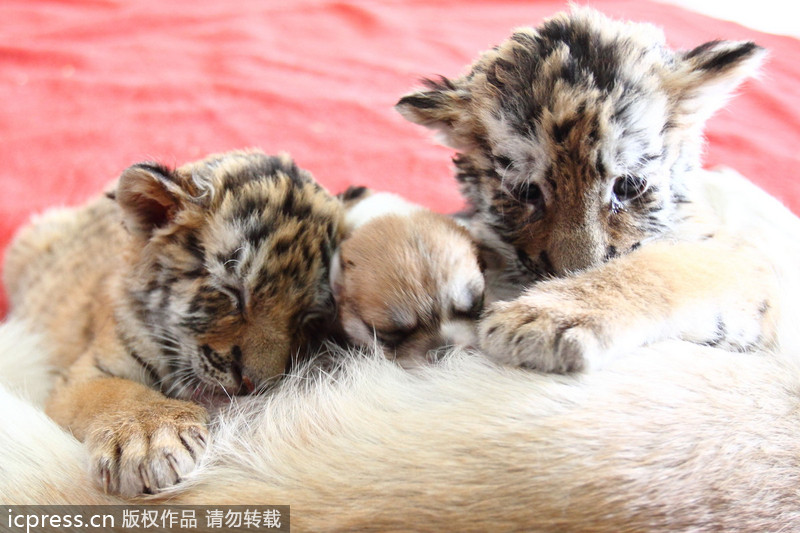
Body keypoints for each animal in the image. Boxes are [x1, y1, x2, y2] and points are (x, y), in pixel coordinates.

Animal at [2, 149, 343, 496]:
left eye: (306, 317)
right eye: (234, 292)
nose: (253, 385)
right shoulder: (85, 373)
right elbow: (119, 393)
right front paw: (148, 439)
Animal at [396, 7, 793, 373]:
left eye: (628, 186)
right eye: (526, 192)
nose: (576, 272)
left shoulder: (744, 264)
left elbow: (664, 265)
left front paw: (545, 321)